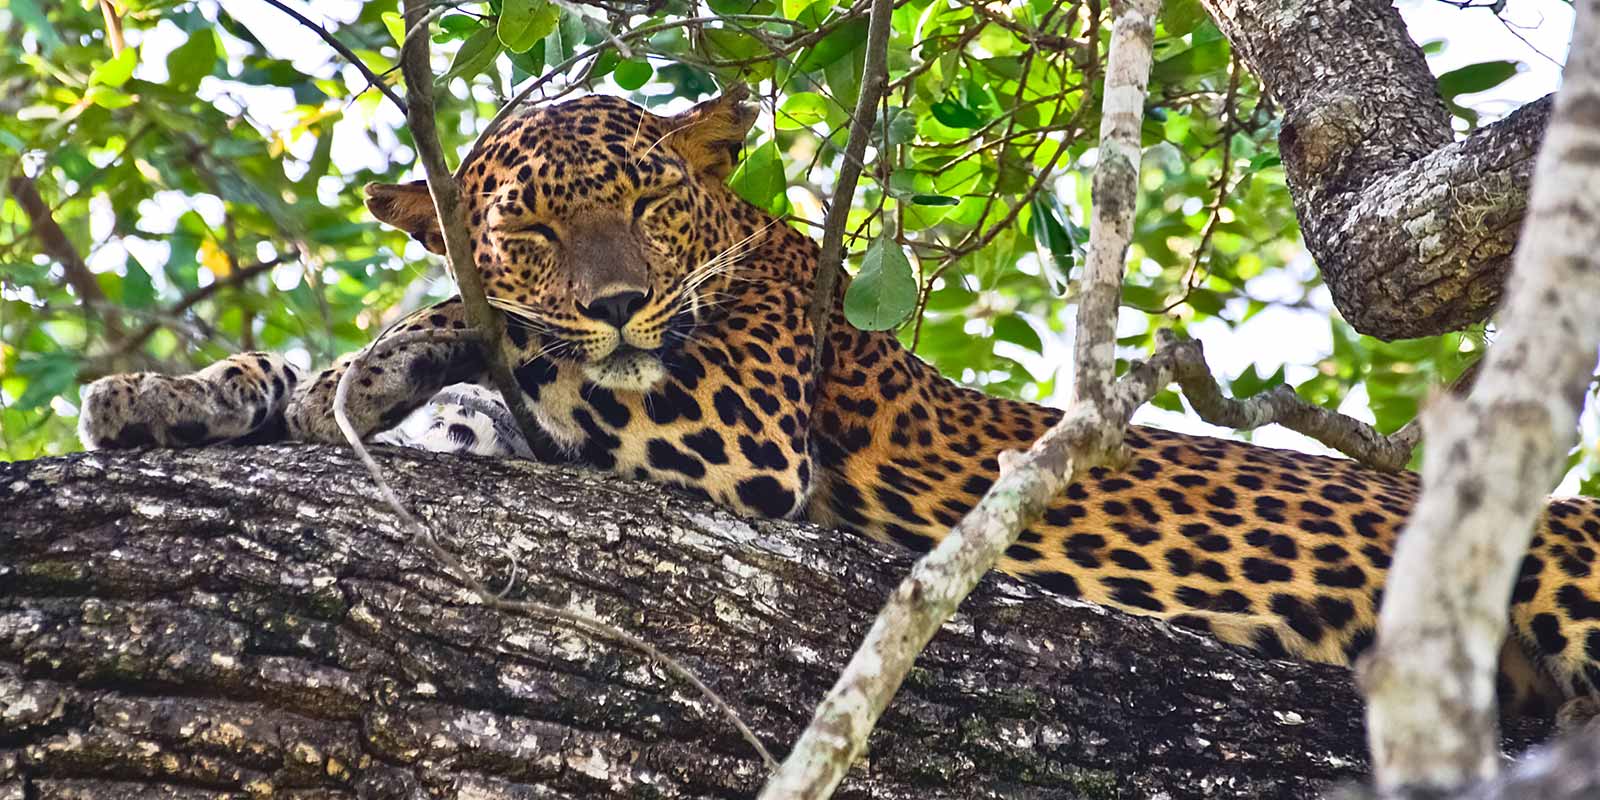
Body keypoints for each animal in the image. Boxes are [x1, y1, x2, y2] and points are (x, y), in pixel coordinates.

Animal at [77, 86, 1600, 721]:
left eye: (646, 207)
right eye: (529, 226)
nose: (618, 300)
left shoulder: (735, 433)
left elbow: (496, 343)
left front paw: (395, 346)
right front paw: (168, 396)